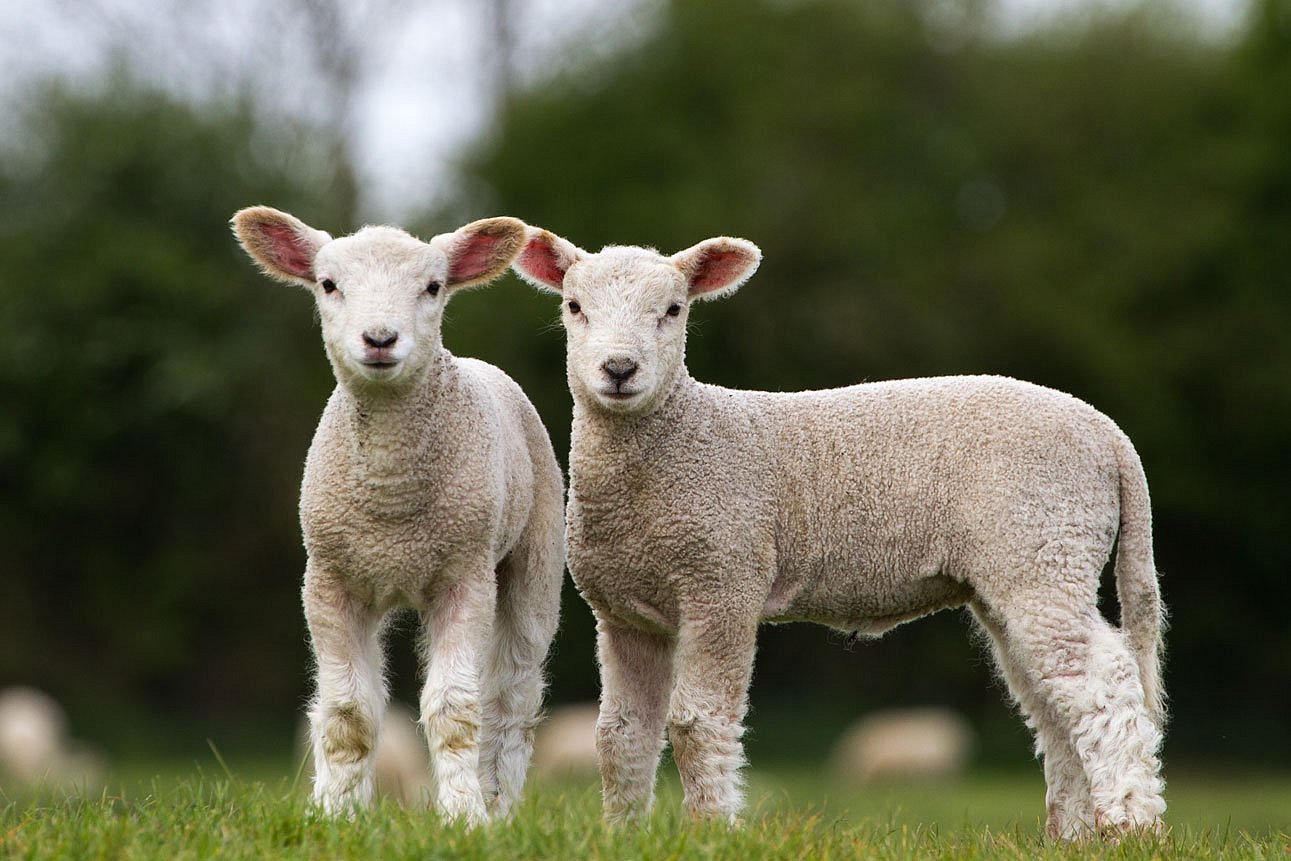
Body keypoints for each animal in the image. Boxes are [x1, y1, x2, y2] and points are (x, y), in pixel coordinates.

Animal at [233, 205, 565, 826]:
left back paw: (498, 805)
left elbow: (455, 710)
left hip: (535, 554)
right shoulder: (331, 581)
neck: (391, 505)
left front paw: (464, 817)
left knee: (511, 697)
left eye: (433, 287)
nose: (381, 339)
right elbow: (347, 713)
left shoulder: (464, 576)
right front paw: (336, 814)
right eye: (328, 284)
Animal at [513, 228, 1172, 841]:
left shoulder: (724, 579)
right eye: (574, 305)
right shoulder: (625, 613)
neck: (678, 439)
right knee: (1052, 699)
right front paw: (620, 834)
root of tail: (1107, 433)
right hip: (1020, 567)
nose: (619, 370)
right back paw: (1073, 832)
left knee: (1103, 683)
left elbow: (697, 723)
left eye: (674, 309)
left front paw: (710, 831)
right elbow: (620, 736)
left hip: (1045, 541)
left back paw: (1130, 823)